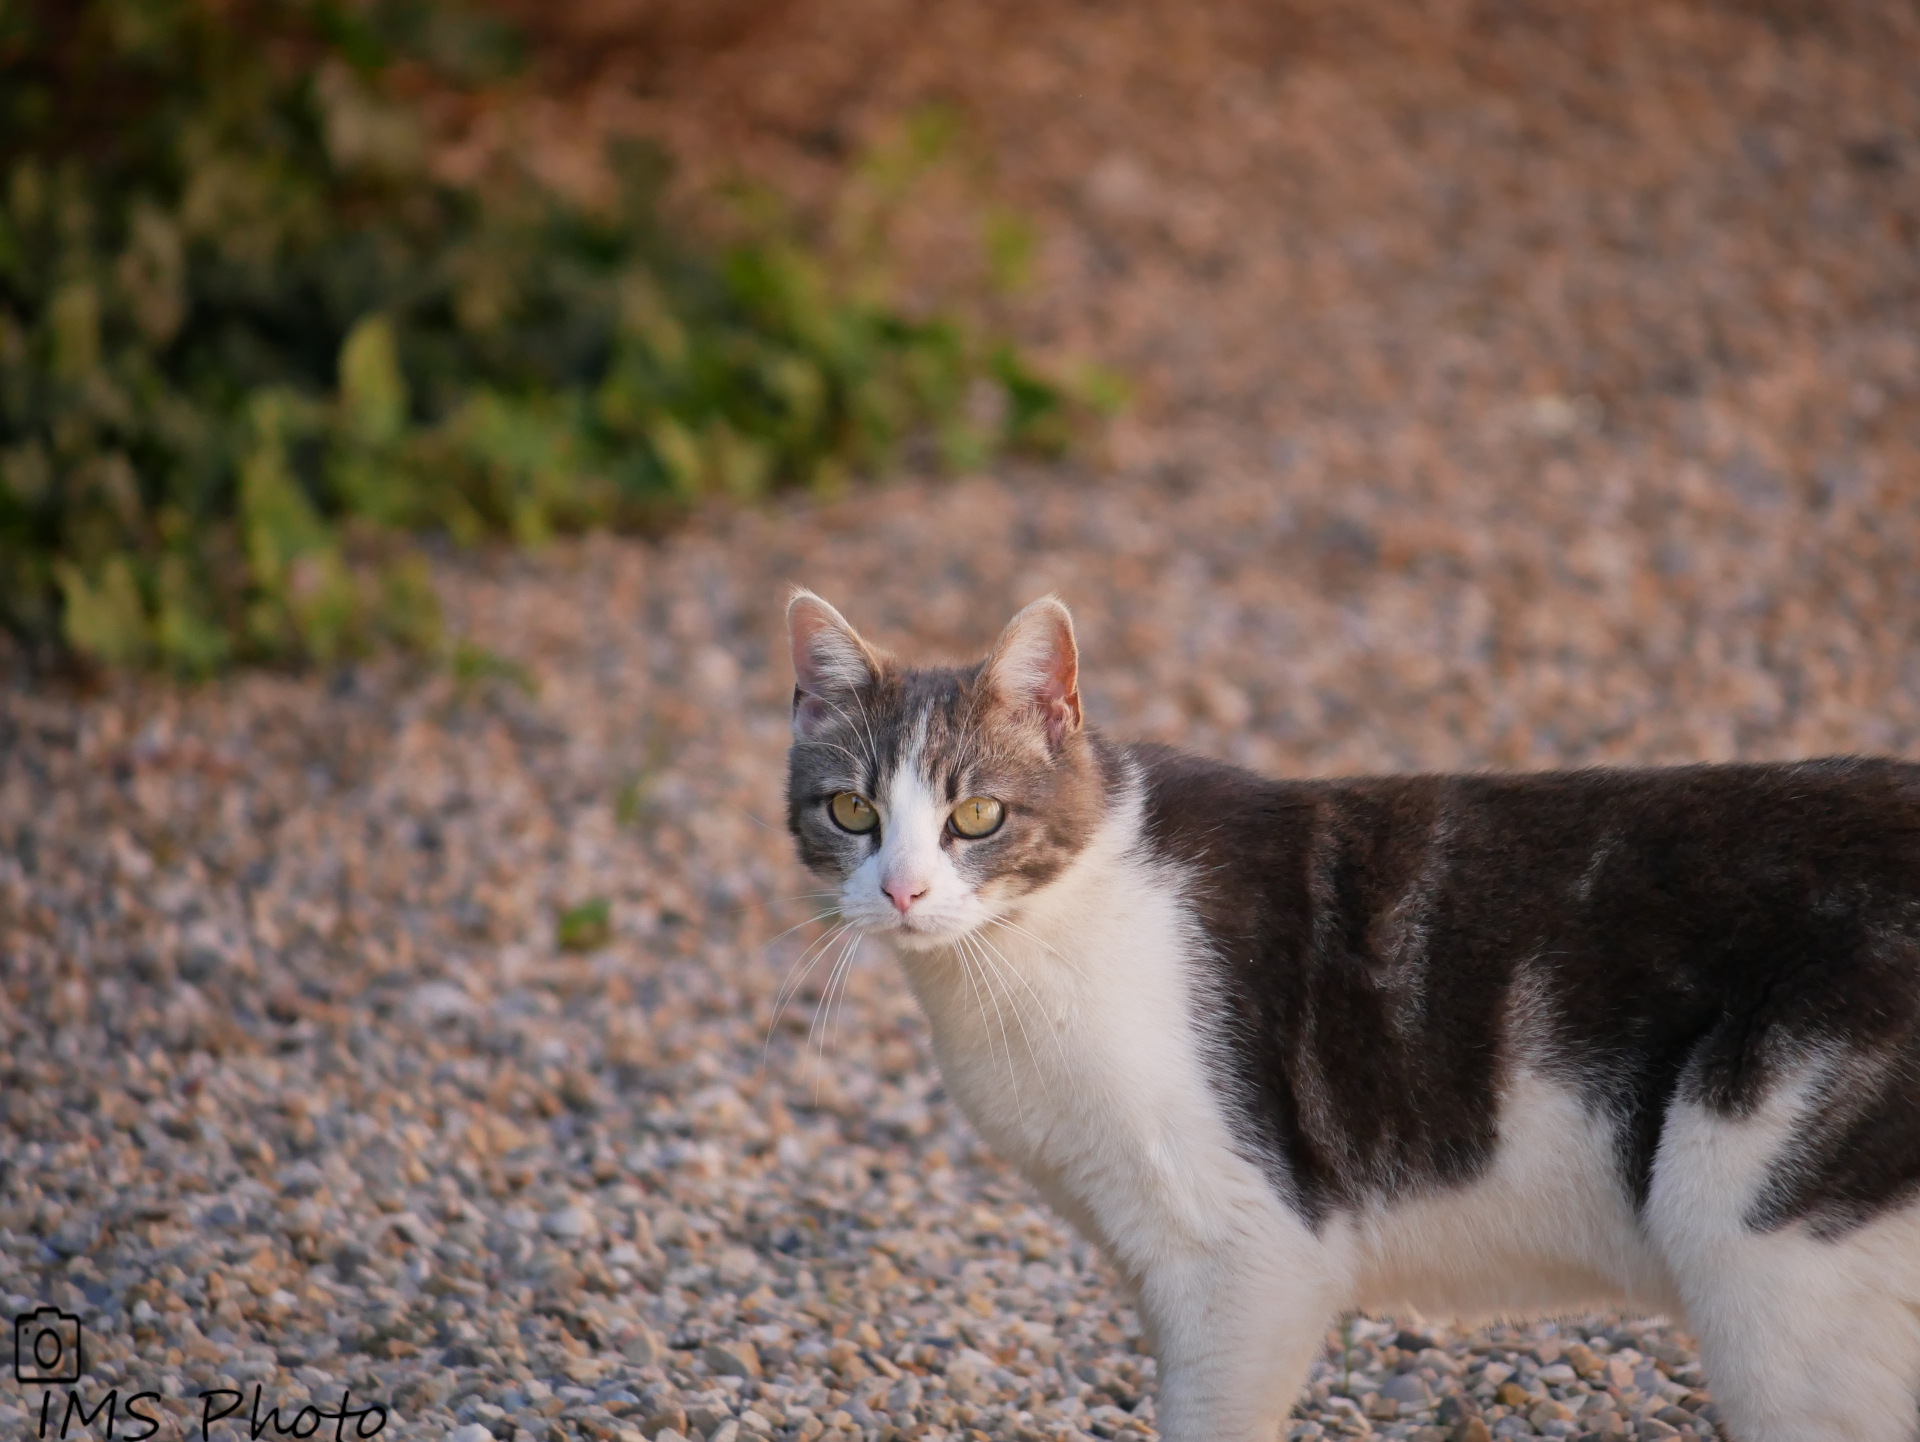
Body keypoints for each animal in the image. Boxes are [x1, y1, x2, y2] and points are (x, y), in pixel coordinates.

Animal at [775, 587, 1920, 1442]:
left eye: (976, 816)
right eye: (852, 810)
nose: (902, 891)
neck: (1023, 948)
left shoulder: (1247, 1255)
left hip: (1769, 1261)